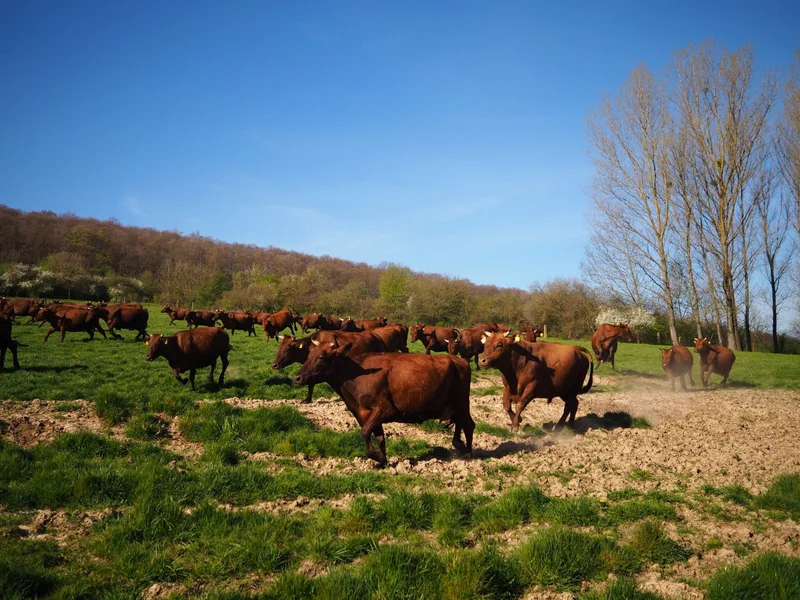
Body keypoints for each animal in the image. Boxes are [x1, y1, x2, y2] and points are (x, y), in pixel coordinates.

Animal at [295, 338, 474, 466]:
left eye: (322, 357)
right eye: (308, 356)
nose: (297, 378)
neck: (356, 375)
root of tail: (460, 361)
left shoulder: (384, 409)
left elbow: (365, 432)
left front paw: (375, 456)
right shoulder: (364, 414)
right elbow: (379, 437)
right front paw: (382, 460)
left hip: (462, 402)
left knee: (469, 424)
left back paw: (468, 453)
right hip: (454, 405)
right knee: (461, 422)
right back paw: (459, 444)